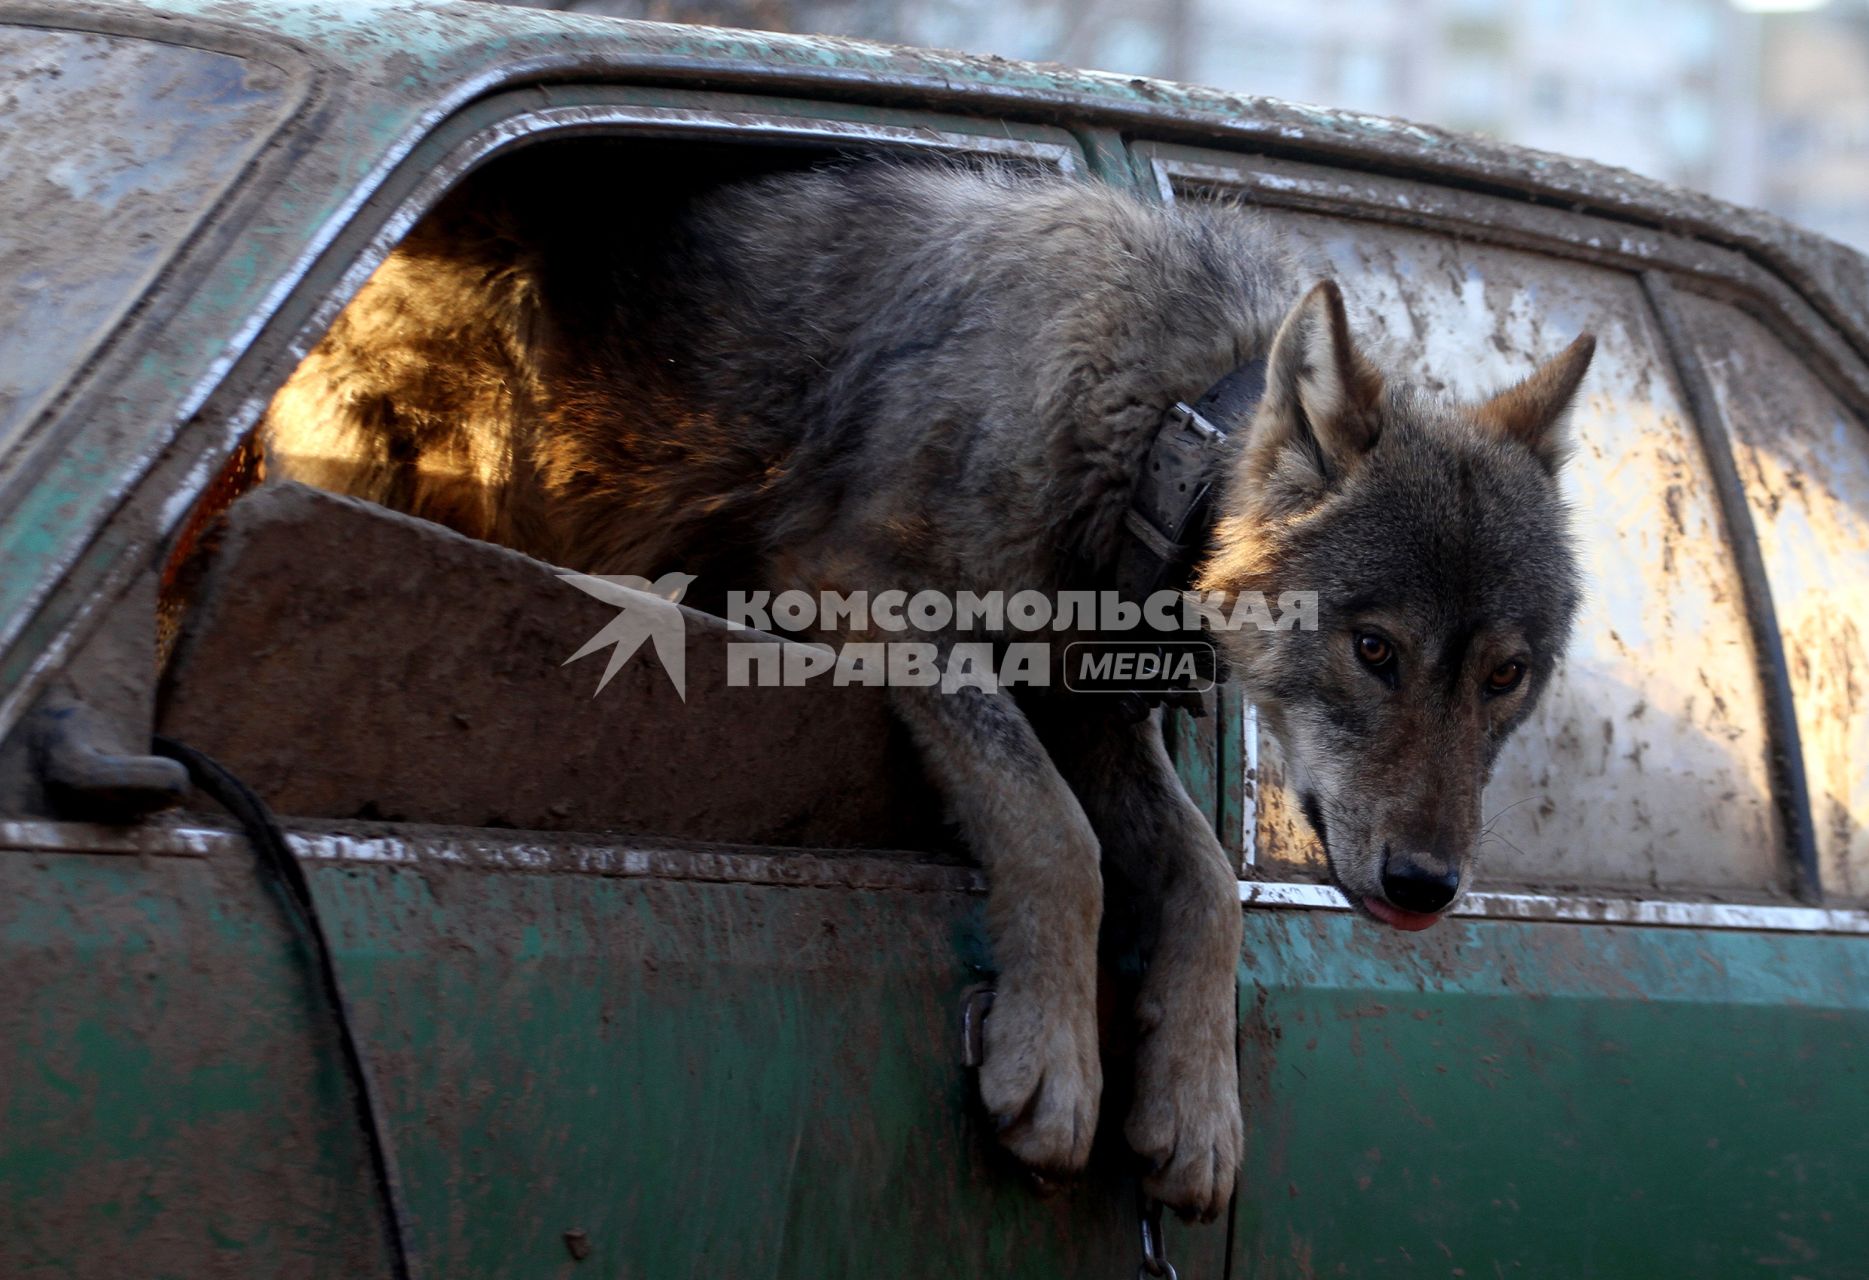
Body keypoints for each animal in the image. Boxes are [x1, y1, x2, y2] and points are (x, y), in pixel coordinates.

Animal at [267, 159, 1592, 1218]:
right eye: (1376, 650)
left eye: (1505, 675)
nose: (1427, 887)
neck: (1152, 424)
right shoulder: (853, 587)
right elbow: (1055, 834)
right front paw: (1055, 1067)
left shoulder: (1086, 711)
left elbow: (1207, 881)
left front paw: (1198, 1110)